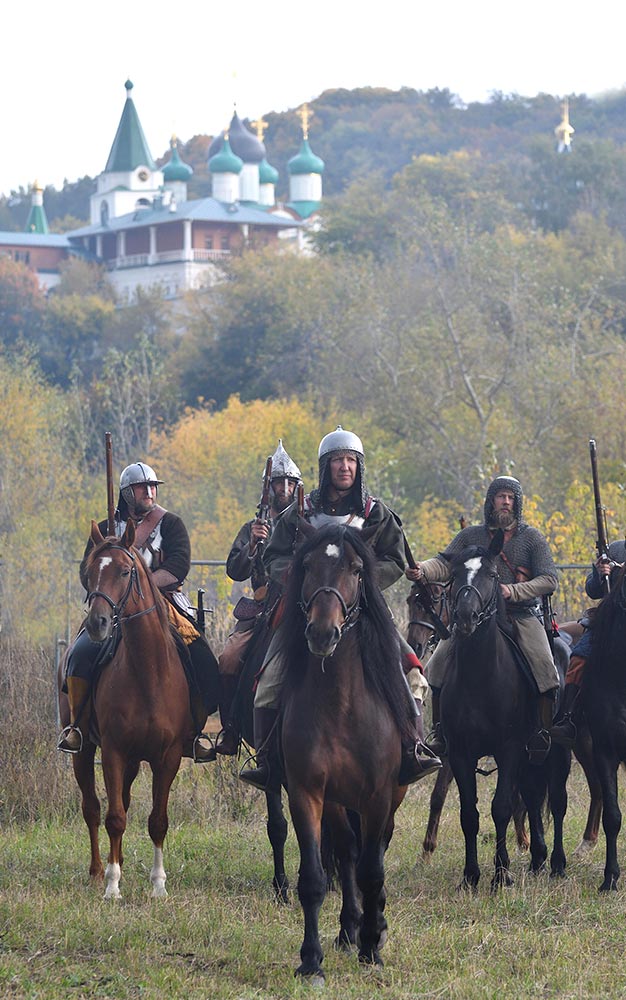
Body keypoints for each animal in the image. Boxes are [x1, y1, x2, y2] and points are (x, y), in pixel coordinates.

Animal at [58, 519, 197, 899]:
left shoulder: (168, 757)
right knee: (93, 808)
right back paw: (98, 870)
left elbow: (157, 820)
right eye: (90, 571)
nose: (98, 624)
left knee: (122, 800)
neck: (148, 672)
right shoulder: (113, 752)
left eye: (124, 571)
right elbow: (114, 817)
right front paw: (112, 886)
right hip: (84, 751)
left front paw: (158, 885)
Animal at [278, 523, 411, 983]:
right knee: (350, 850)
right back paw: (349, 928)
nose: (322, 633)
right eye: (307, 565)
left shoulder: (378, 796)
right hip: (338, 802)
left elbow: (373, 871)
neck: (340, 706)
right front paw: (310, 960)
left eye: (356, 569)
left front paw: (373, 945)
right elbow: (315, 879)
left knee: (376, 850)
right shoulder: (307, 793)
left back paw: (376, 925)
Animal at [441, 529, 571, 891]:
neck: (480, 676)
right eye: (455, 575)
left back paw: (556, 862)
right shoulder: (460, 753)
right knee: (531, 794)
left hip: (558, 747)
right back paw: (538, 858)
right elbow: (469, 814)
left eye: (491, 574)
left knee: (556, 801)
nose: (465, 618)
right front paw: (470, 875)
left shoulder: (509, 748)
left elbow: (500, 808)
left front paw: (501, 874)